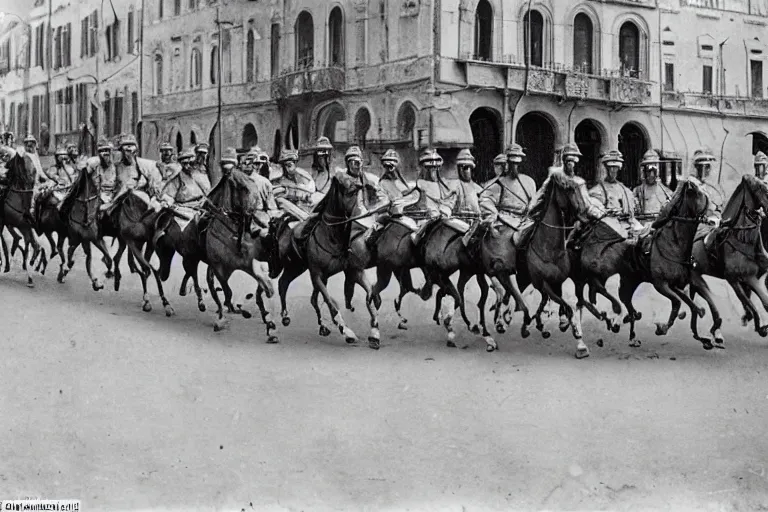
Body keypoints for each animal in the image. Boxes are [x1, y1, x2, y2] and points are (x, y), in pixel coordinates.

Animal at [0, 151, 44, 288]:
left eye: (34, 170)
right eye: (25, 166)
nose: (5, 166)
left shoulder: (23, 225)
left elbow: (27, 243)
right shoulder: (11, 223)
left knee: (29, 243)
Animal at [516, 170, 592, 358]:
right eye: (569, 189)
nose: (588, 217)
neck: (550, 250)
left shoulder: (558, 282)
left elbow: (565, 305)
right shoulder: (544, 283)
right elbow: (567, 307)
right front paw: (578, 339)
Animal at [616, 178, 712, 350]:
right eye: (699, 193)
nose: (714, 216)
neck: (674, 245)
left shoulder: (677, 285)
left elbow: (692, 306)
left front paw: (702, 336)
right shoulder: (660, 284)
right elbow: (678, 302)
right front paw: (662, 328)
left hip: (634, 280)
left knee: (629, 304)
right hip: (627, 281)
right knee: (626, 301)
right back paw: (632, 335)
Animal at [688, 174, 768, 346]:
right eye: (760, 188)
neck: (741, 240)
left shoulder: (753, 278)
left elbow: (762, 302)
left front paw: (755, 322)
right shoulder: (734, 280)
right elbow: (751, 304)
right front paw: (760, 327)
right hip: (695, 277)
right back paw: (712, 332)